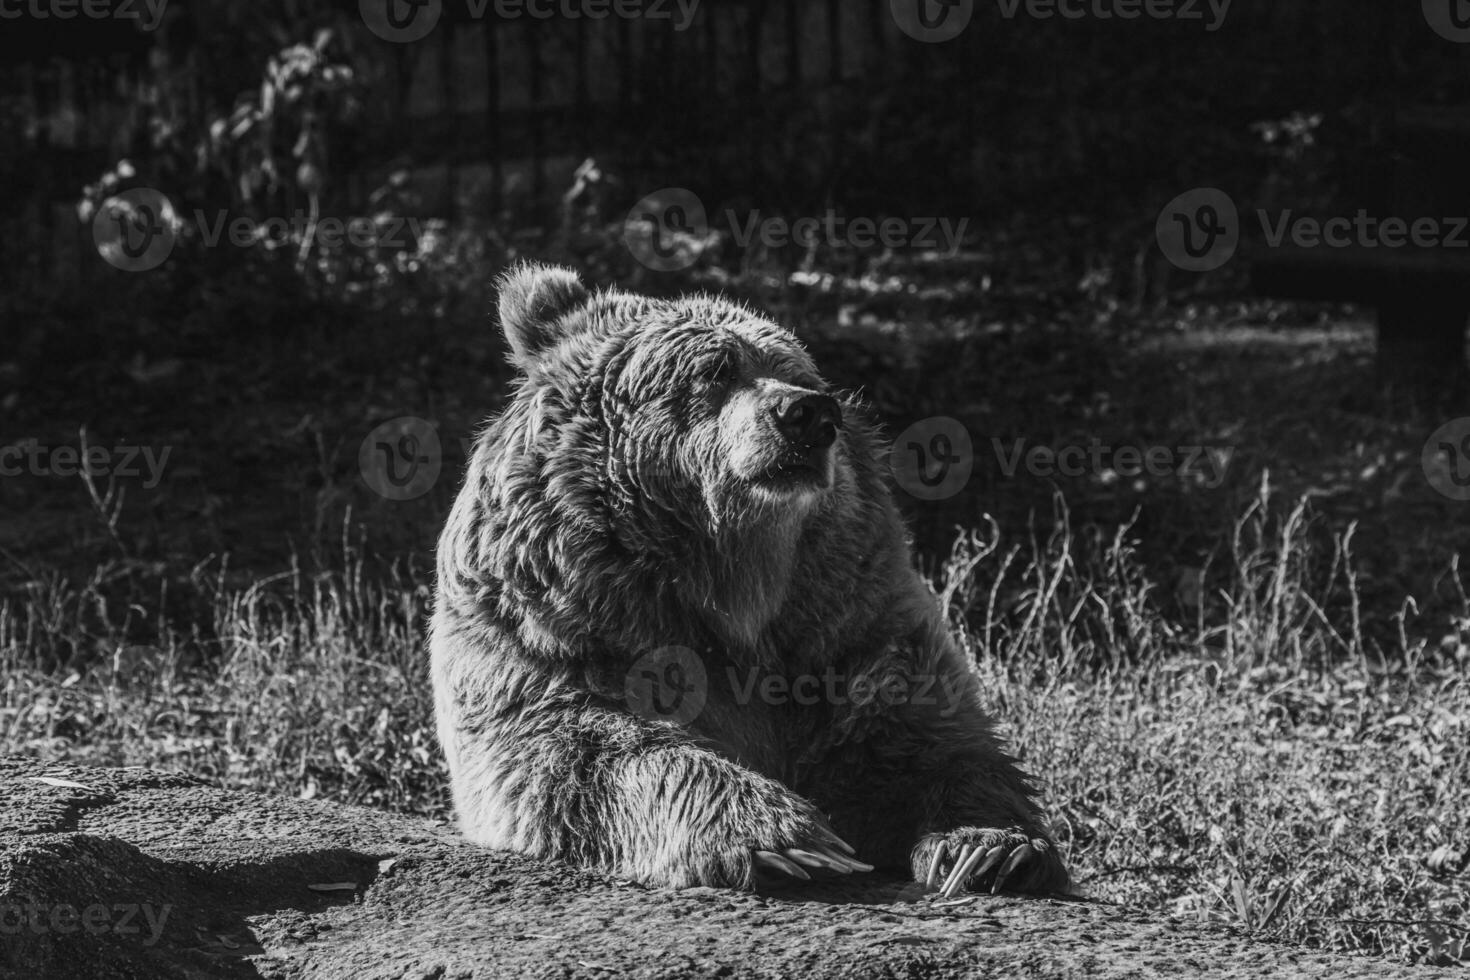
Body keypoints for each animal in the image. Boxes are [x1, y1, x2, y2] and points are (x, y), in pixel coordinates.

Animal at [429, 260, 1070, 899]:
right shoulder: (552, 618)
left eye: (799, 373)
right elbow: (572, 742)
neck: (730, 580)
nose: (808, 415)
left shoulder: (844, 619)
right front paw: (787, 839)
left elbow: (927, 742)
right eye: (715, 370)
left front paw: (990, 848)